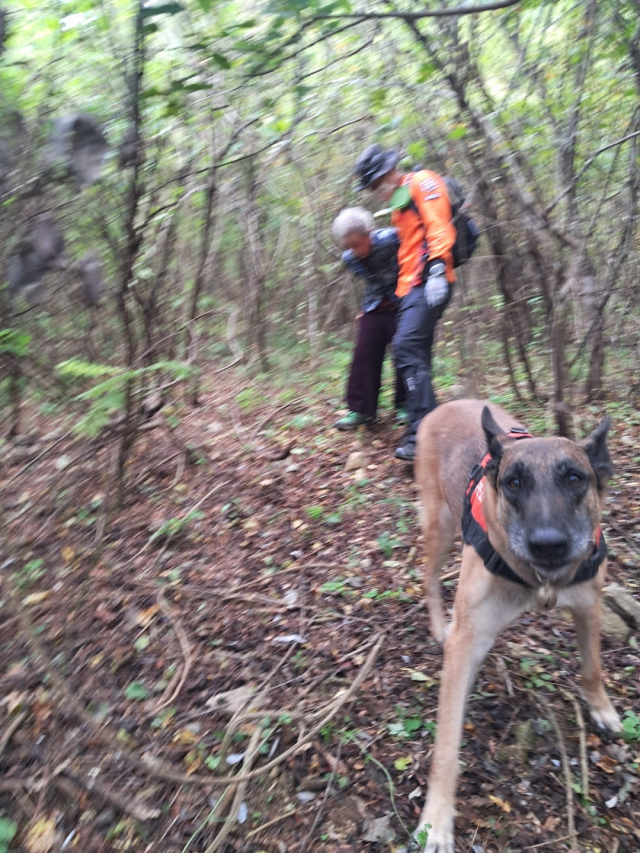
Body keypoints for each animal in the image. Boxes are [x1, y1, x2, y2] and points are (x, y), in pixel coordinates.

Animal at [416, 400, 620, 852]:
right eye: (513, 482)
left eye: (575, 478)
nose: (548, 544)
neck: (540, 581)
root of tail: (444, 405)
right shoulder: (466, 643)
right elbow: (446, 745)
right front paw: (436, 821)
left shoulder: (588, 605)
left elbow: (593, 668)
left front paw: (602, 708)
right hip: (440, 527)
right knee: (429, 576)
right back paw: (438, 623)